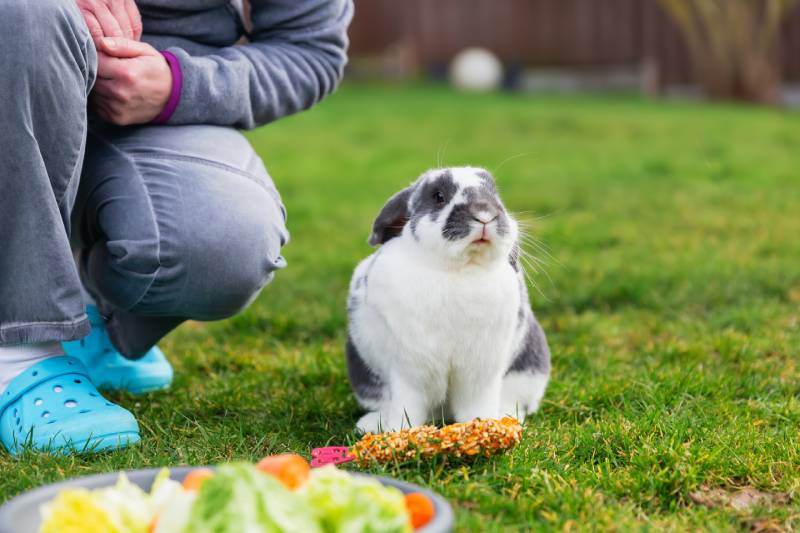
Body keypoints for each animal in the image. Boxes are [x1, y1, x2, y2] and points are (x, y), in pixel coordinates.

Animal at [346, 166, 552, 432]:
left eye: (494, 193)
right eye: (438, 196)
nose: (484, 214)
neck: (458, 270)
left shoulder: (480, 371)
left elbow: (475, 405)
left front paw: (483, 425)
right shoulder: (408, 370)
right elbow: (407, 406)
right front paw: (399, 431)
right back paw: (371, 424)